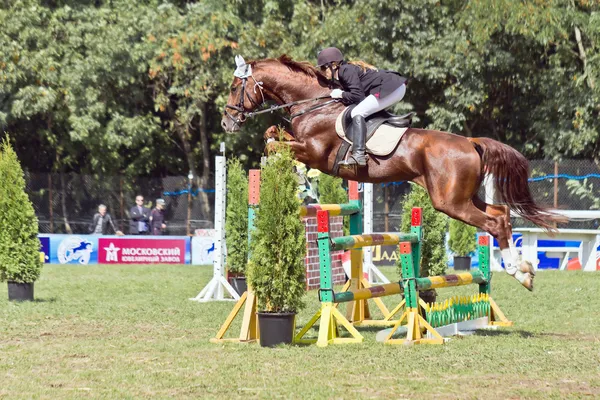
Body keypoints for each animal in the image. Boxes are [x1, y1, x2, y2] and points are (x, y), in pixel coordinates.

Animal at [221, 54, 568, 290]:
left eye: (235, 87)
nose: (226, 122)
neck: (313, 104)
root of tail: (471, 142)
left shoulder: (314, 151)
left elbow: (273, 144)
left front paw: (287, 173)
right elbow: (271, 134)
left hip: (450, 202)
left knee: (494, 222)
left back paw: (516, 271)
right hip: (463, 196)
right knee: (501, 215)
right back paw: (524, 269)